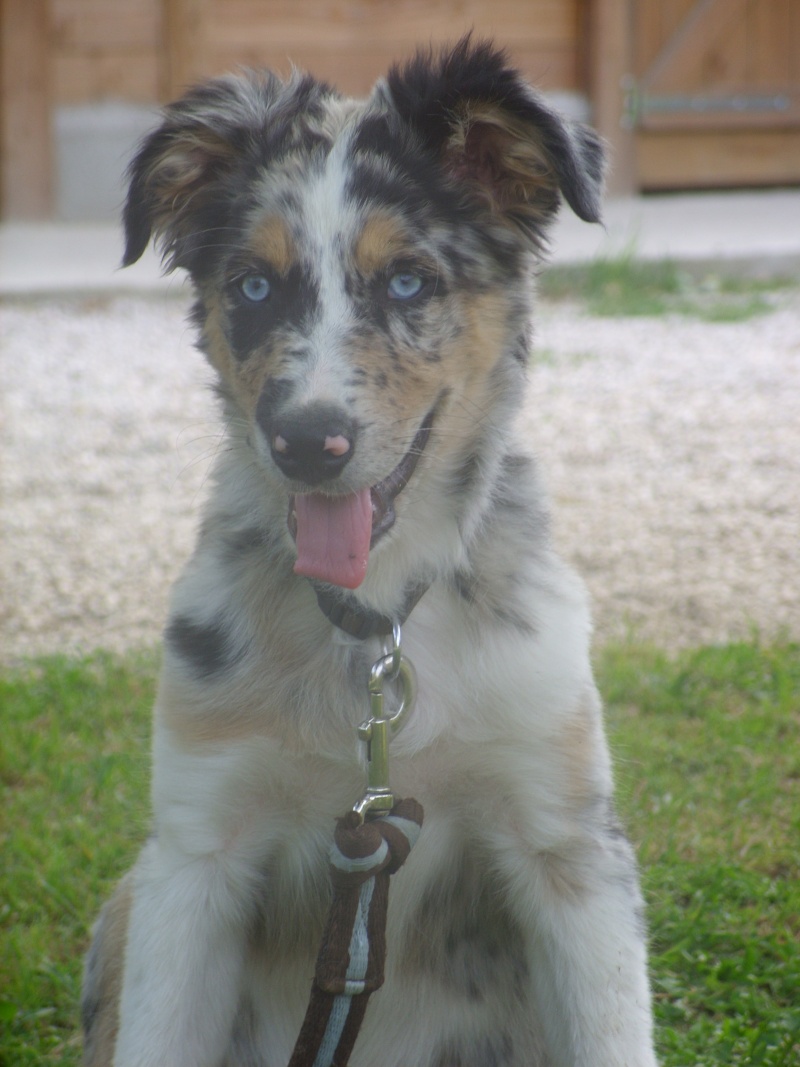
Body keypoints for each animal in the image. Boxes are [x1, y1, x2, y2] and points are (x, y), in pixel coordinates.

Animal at [83, 37, 657, 1067]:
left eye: (407, 282)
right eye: (253, 286)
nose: (308, 442)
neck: (374, 624)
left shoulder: (570, 845)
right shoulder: (194, 851)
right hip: (123, 908)